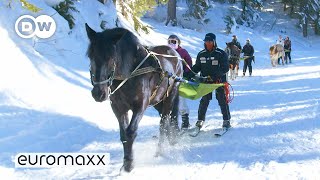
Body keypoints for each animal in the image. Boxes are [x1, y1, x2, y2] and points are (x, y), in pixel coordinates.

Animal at [85, 23, 182, 172]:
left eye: (111, 58)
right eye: (91, 56)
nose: (98, 93)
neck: (130, 73)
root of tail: (174, 53)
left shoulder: (140, 106)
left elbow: (131, 132)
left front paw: (130, 164)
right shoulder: (118, 108)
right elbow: (124, 134)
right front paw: (125, 162)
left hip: (170, 96)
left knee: (164, 122)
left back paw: (160, 151)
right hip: (158, 101)